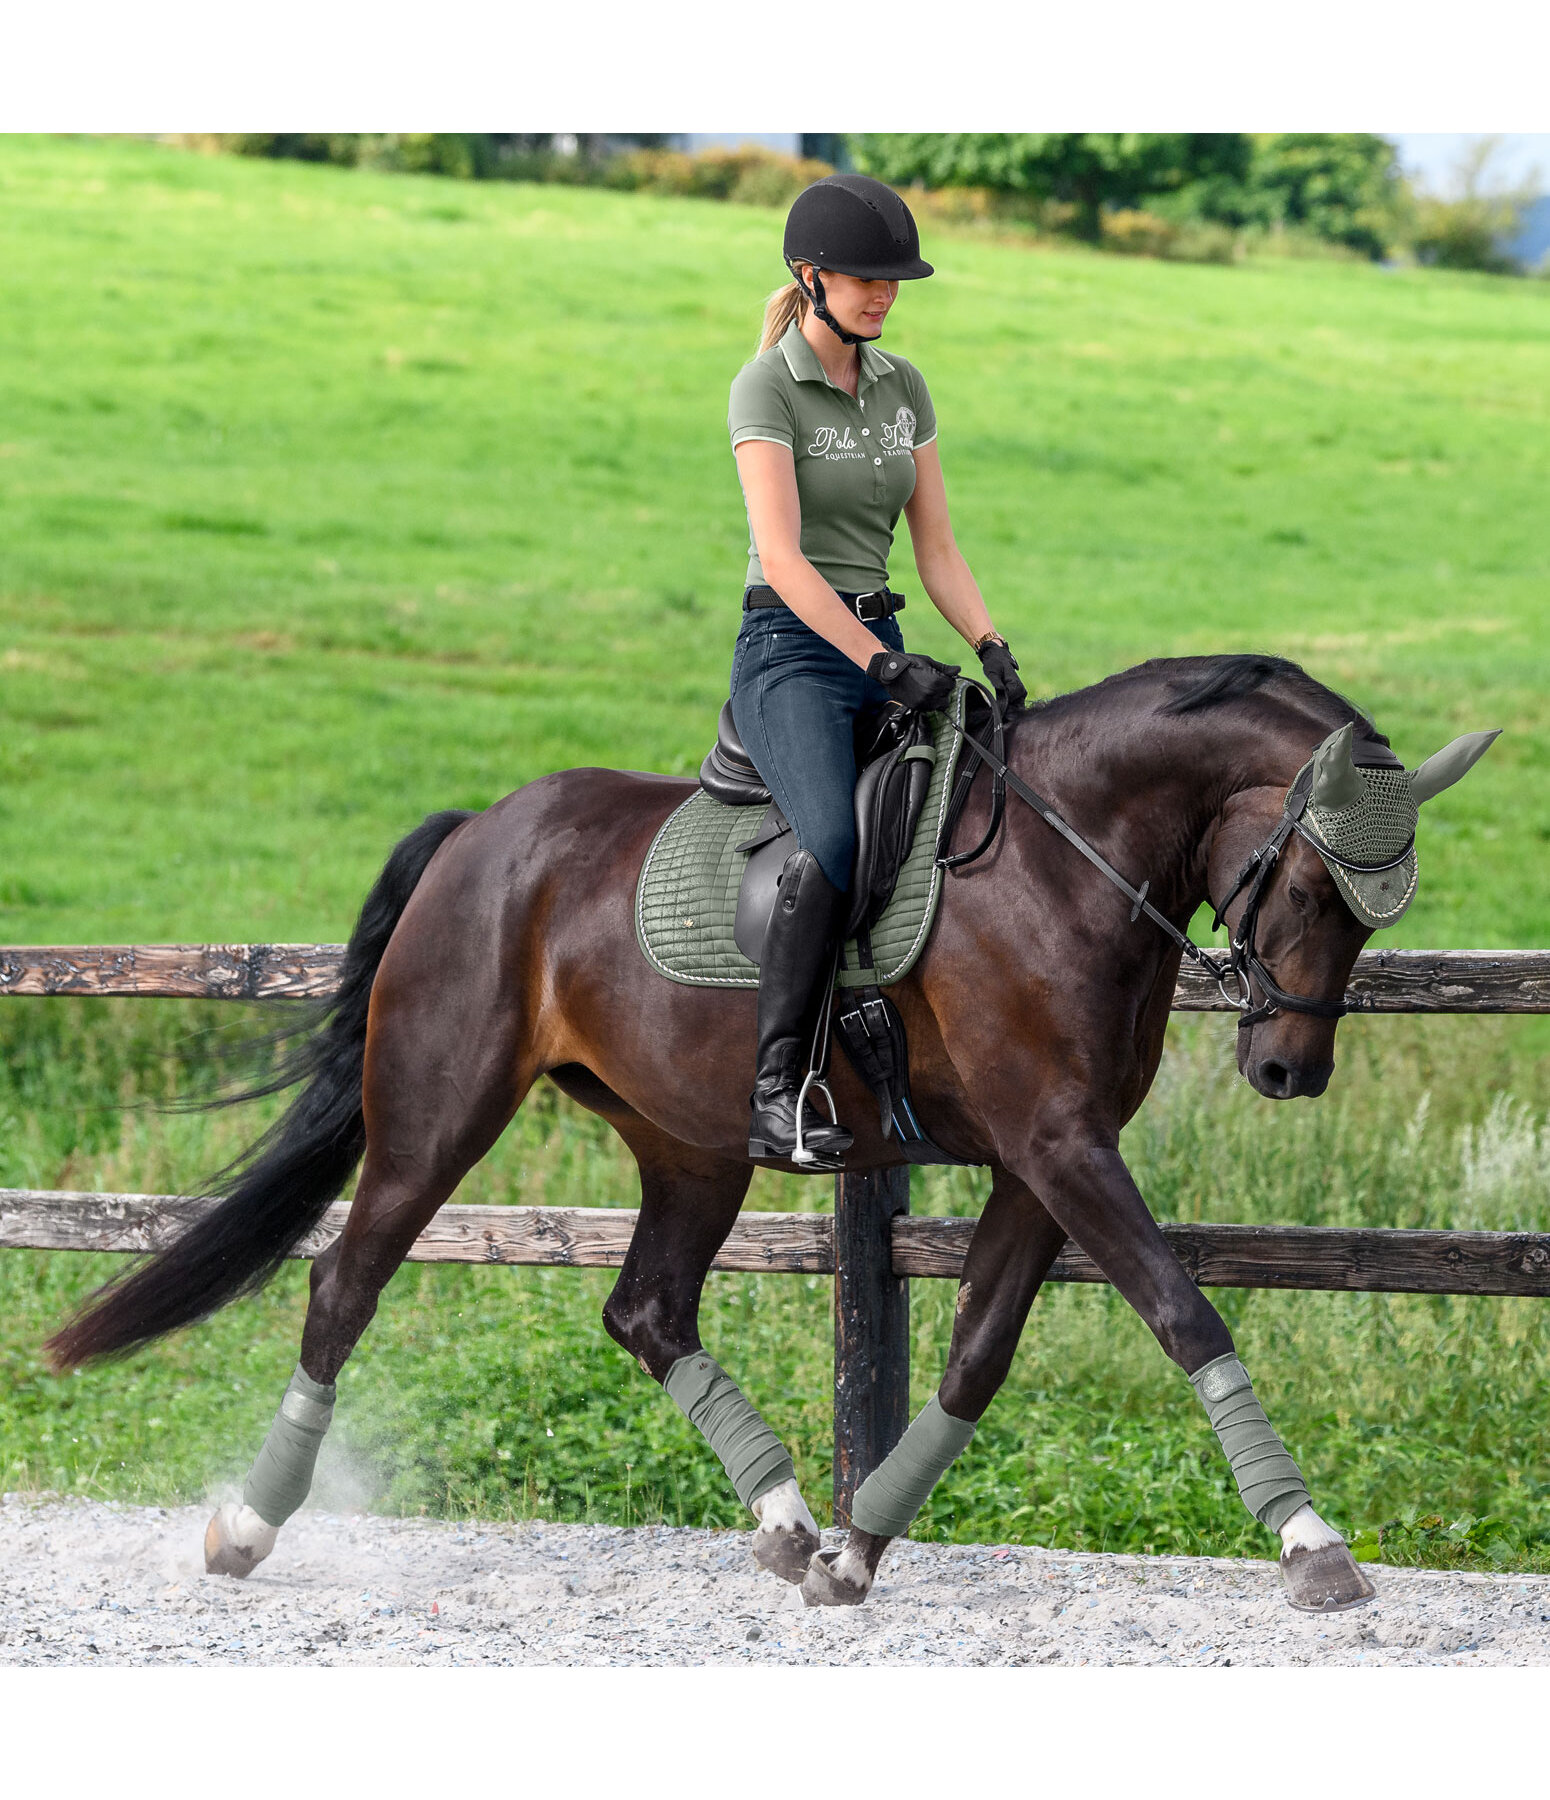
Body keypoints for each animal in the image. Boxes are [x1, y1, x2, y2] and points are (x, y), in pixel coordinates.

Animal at [48, 651, 1490, 1620]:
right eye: (1307, 881)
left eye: (1376, 907)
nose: (1287, 1068)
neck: (1064, 857)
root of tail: (481, 832)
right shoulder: (1060, 1143)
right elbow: (1187, 1314)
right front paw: (1311, 1547)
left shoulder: (1042, 1159)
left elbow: (975, 1357)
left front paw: (856, 1552)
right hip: (435, 1117)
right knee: (344, 1285)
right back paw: (245, 1528)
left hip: (690, 1145)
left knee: (645, 1311)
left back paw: (793, 1522)